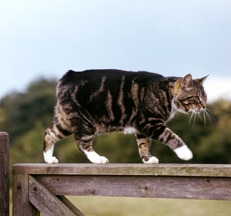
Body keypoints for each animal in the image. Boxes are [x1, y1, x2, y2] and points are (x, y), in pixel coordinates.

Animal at [42, 69, 208, 164]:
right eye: (196, 98)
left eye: (205, 97)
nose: (205, 106)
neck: (166, 93)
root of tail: (68, 76)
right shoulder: (151, 123)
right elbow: (170, 136)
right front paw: (185, 153)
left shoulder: (142, 127)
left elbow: (143, 144)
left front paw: (147, 159)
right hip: (85, 121)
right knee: (82, 143)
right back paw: (97, 159)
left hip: (65, 120)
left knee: (49, 133)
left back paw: (49, 159)